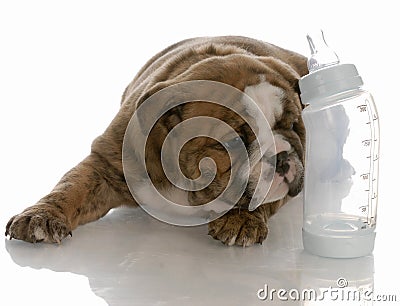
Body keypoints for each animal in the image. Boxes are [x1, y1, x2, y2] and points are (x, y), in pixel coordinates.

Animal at [5, 36, 306, 246]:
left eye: (294, 125)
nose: (281, 156)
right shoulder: (105, 163)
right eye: (234, 142)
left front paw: (243, 217)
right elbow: (71, 186)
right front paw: (41, 216)